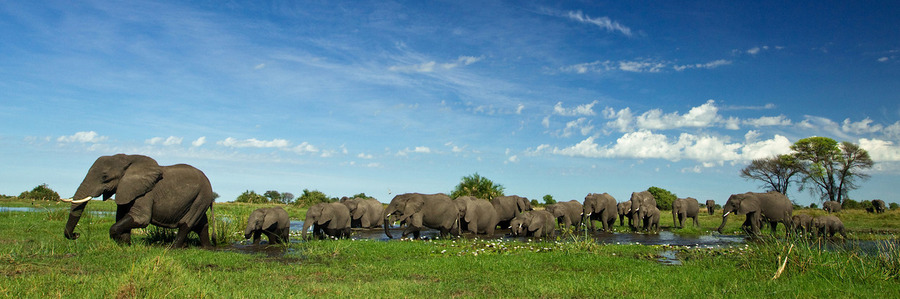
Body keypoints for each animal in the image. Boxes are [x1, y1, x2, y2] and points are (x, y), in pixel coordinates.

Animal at [60, 155, 215, 248]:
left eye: (105, 177)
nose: (76, 235)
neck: (128, 159)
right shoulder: (126, 190)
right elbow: (121, 216)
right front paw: (126, 244)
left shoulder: (145, 193)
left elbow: (141, 218)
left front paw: (122, 243)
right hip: (199, 198)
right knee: (202, 224)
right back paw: (206, 248)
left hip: (202, 197)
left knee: (187, 223)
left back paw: (173, 248)